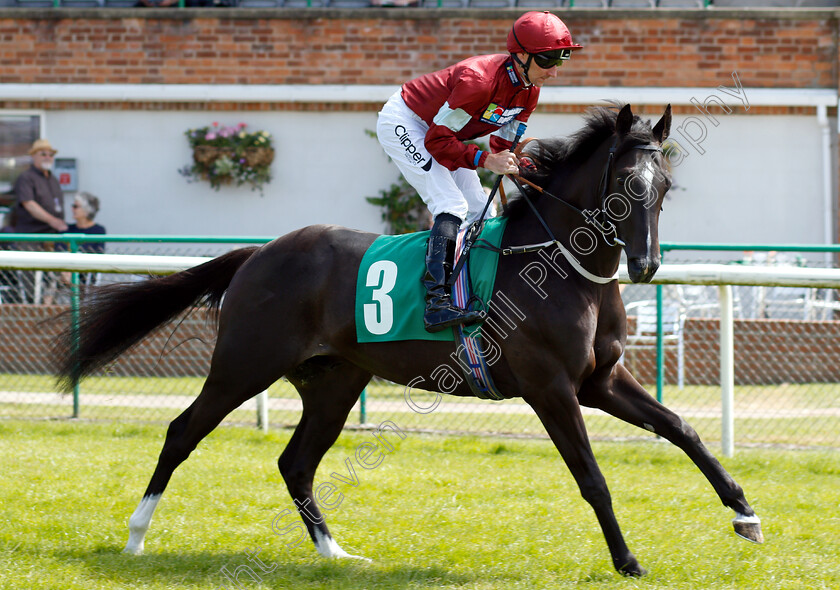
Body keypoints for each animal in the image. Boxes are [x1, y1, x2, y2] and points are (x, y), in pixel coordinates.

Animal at [54, 104, 760, 580]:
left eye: (664, 189)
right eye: (625, 186)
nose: (645, 265)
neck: (557, 265)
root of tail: (260, 252)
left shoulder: (600, 381)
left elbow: (683, 430)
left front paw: (744, 513)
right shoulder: (551, 389)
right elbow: (592, 476)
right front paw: (628, 559)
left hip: (335, 381)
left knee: (296, 462)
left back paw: (336, 552)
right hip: (244, 363)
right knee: (183, 431)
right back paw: (136, 536)